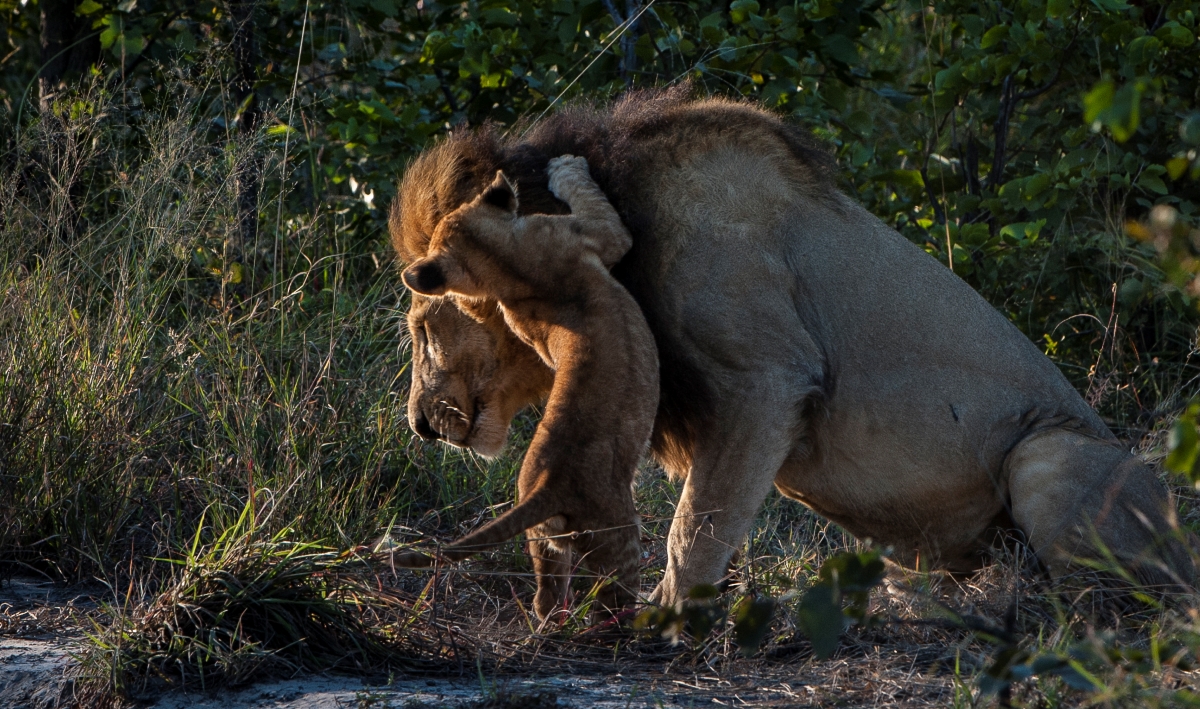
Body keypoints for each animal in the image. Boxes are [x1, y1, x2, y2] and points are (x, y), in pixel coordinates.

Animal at [388, 84, 1195, 604]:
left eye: (424, 328)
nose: (421, 425)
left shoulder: (767, 378)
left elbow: (696, 526)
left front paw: (670, 618)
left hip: (1046, 455)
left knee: (1102, 597)